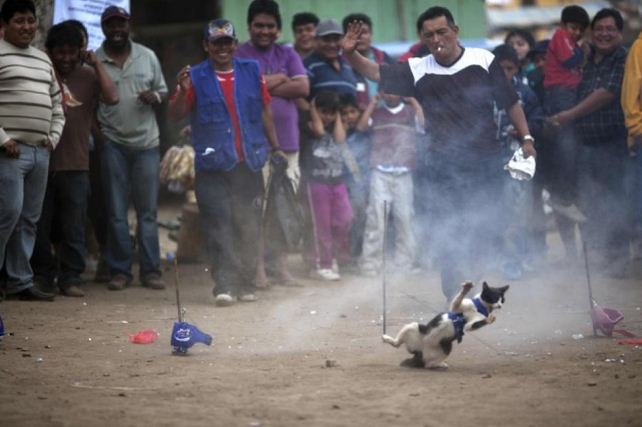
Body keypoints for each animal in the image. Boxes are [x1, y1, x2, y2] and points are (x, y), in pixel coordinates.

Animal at [380, 282, 510, 370]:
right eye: (494, 298)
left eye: (502, 299)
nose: (500, 305)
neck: (480, 307)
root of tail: (421, 350)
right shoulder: (456, 308)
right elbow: (458, 299)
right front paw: (466, 288)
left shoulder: (469, 325)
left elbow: (478, 323)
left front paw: (490, 318)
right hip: (414, 326)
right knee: (397, 343)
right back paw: (387, 338)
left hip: (446, 348)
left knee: (428, 364)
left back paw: (440, 364)